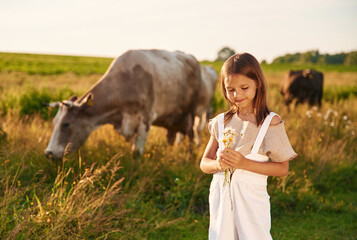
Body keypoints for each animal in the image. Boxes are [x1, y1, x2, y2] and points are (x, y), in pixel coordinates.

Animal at [44, 48, 207, 159]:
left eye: (66, 124)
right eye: (54, 122)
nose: (49, 153)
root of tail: (191, 58)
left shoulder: (145, 120)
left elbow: (136, 153)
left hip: (192, 113)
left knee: (192, 136)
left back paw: (188, 158)